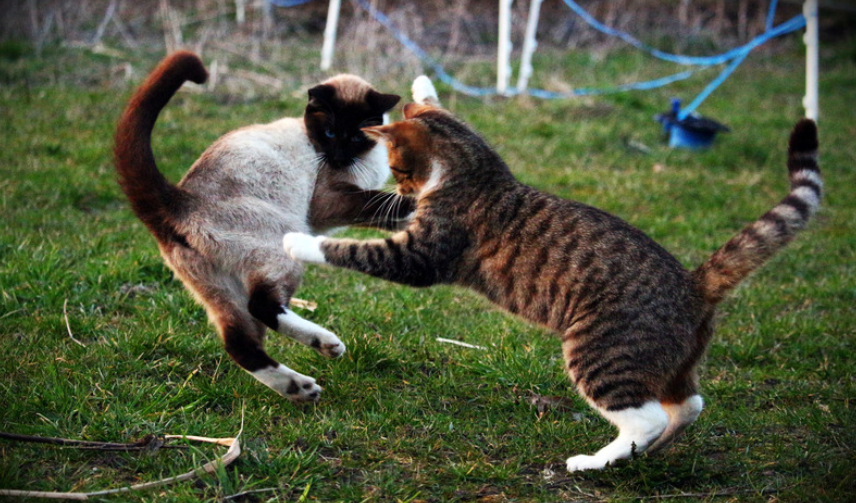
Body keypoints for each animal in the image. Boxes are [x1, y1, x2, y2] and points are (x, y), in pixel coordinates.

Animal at [112, 52, 412, 402]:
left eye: (355, 136)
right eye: (330, 134)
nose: (337, 156)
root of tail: (177, 200)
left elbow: (386, 213)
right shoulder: (332, 201)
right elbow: (383, 202)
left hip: (219, 289)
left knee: (239, 342)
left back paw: (299, 388)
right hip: (279, 252)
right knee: (262, 306)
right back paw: (326, 347)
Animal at [286, 78, 824, 468]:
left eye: (398, 168)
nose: (402, 191)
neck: (474, 170)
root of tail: (694, 283)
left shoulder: (422, 254)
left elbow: (349, 249)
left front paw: (297, 241)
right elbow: (442, 108)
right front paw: (422, 84)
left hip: (600, 353)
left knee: (644, 418)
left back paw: (596, 462)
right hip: (674, 363)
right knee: (689, 405)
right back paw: (651, 452)